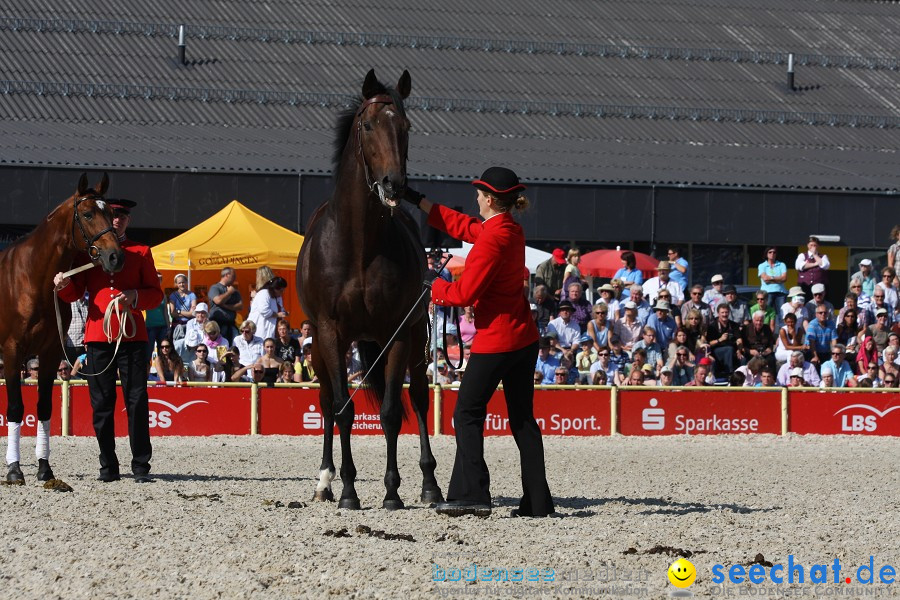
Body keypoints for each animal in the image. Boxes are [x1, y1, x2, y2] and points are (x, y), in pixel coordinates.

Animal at [0, 175, 124, 482]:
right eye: (88, 214)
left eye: (111, 212)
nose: (115, 257)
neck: (32, 278)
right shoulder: (12, 351)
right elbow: (15, 408)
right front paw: (14, 470)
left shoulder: (50, 352)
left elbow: (44, 408)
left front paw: (45, 468)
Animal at [298, 70, 442, 510]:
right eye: (367, 125)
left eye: (405, 126)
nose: (394, 183)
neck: (359, 244)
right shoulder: (330, 333)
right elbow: (342, 408)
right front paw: (347, 490)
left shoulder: (396, 332)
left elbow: (393, 411)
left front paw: (392, 491)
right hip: (321, 344)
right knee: (327, 401)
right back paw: (325, 480)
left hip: (415, 335)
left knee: (419, 399)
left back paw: (431, 484)